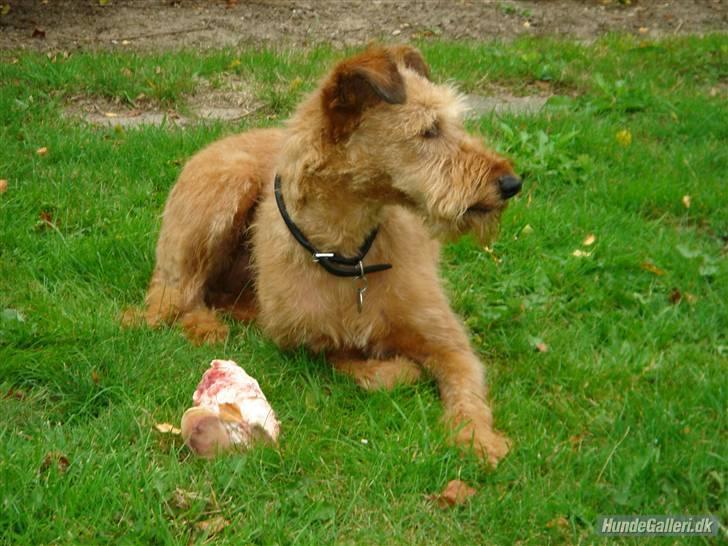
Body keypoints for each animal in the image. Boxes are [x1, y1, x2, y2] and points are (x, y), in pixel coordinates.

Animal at [139, 45, 520, 464]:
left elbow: (466, 388)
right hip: (221, 195)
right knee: (177, 294)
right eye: (429, 129)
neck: (349, 253)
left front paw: (477, 438)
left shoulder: (447, 340)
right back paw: (206, 326)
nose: (511, 183)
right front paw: (400, 368)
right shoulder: (304, 343)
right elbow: (371, 369)